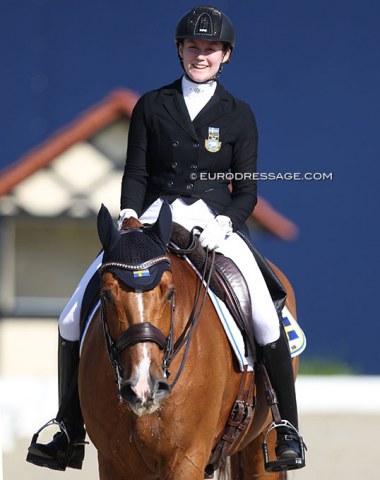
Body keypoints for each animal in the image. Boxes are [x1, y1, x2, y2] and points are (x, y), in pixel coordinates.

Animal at [78, 204, 298, 478]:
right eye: (106, 295)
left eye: (170, 292)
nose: (143, 388)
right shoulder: (112, 461)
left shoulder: (187, 459)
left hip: (261, 442)